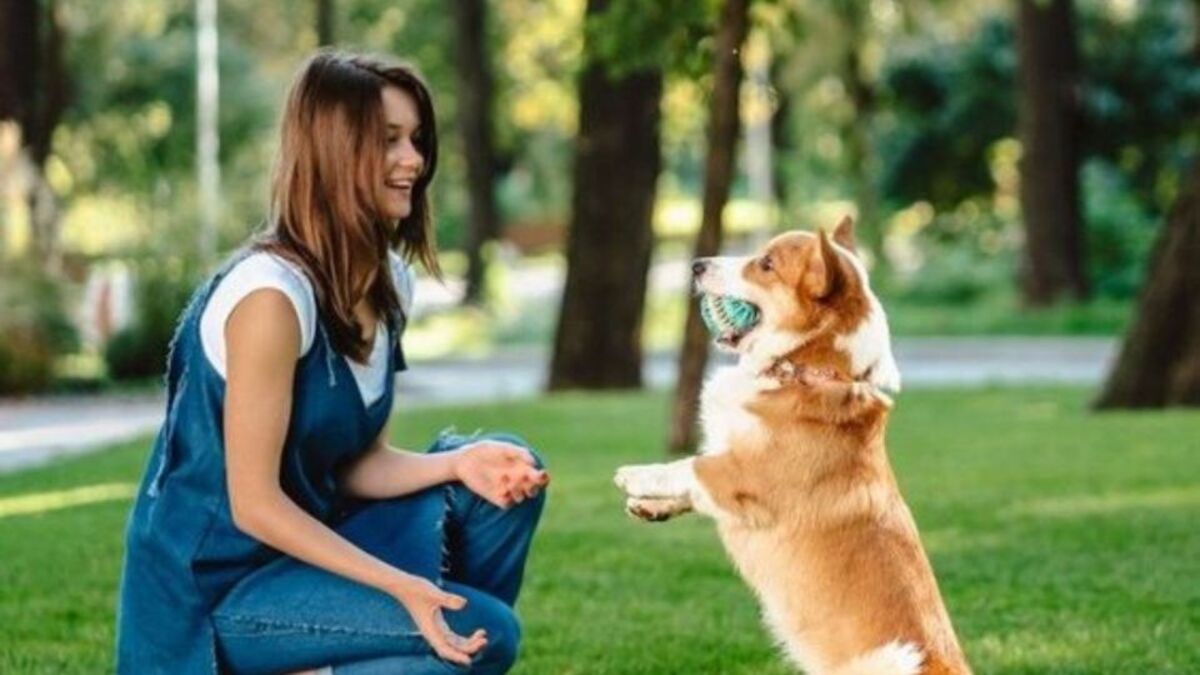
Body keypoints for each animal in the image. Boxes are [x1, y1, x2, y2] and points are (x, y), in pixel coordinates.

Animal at [614, 216, 969, 672]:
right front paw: (650, 506)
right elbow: (691, 478)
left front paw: (635, 476)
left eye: (766, 264)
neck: (804, 369)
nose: (696, 264)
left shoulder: (742, 475)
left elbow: (689, 465)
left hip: (894, 658)